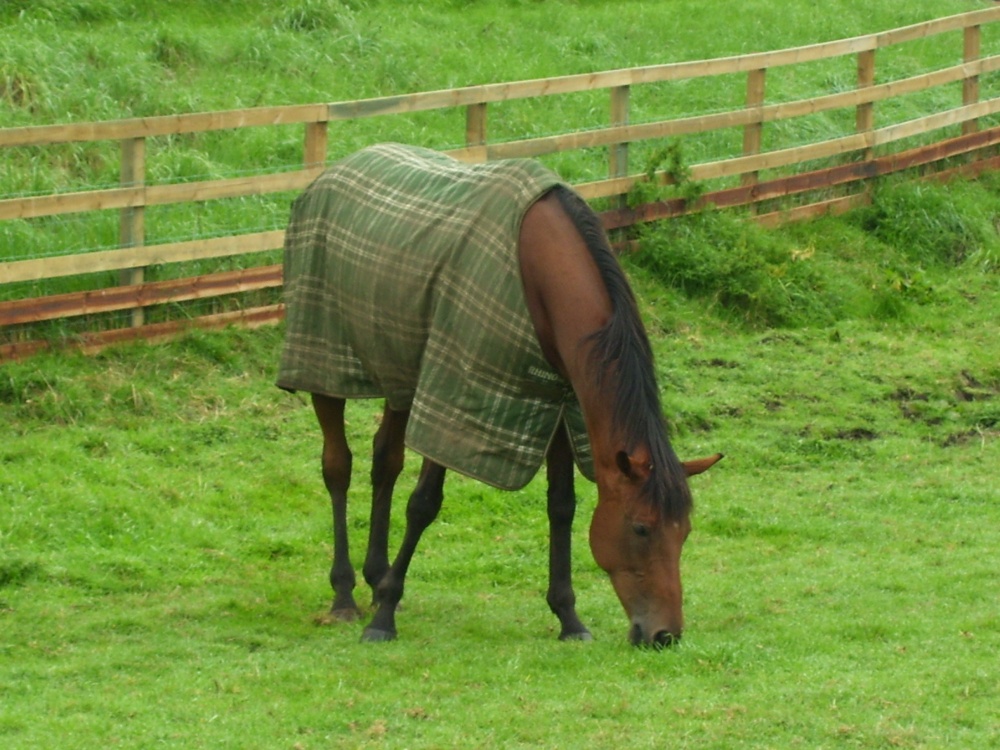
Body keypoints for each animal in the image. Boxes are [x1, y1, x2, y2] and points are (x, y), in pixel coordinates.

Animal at [277, 143, 722, 647]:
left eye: (684, 532)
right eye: (642, 528)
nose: (665, 634)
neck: (541, 271)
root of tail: (333, 172)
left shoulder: (559, 402)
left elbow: (561, 506)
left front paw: (568, 617)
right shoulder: (456, 395)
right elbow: (423, 504)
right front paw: (384, 617)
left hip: (400, 373)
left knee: (384, 460)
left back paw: (375, 576)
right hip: (325, 364)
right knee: (338, 467)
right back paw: (346, 595)